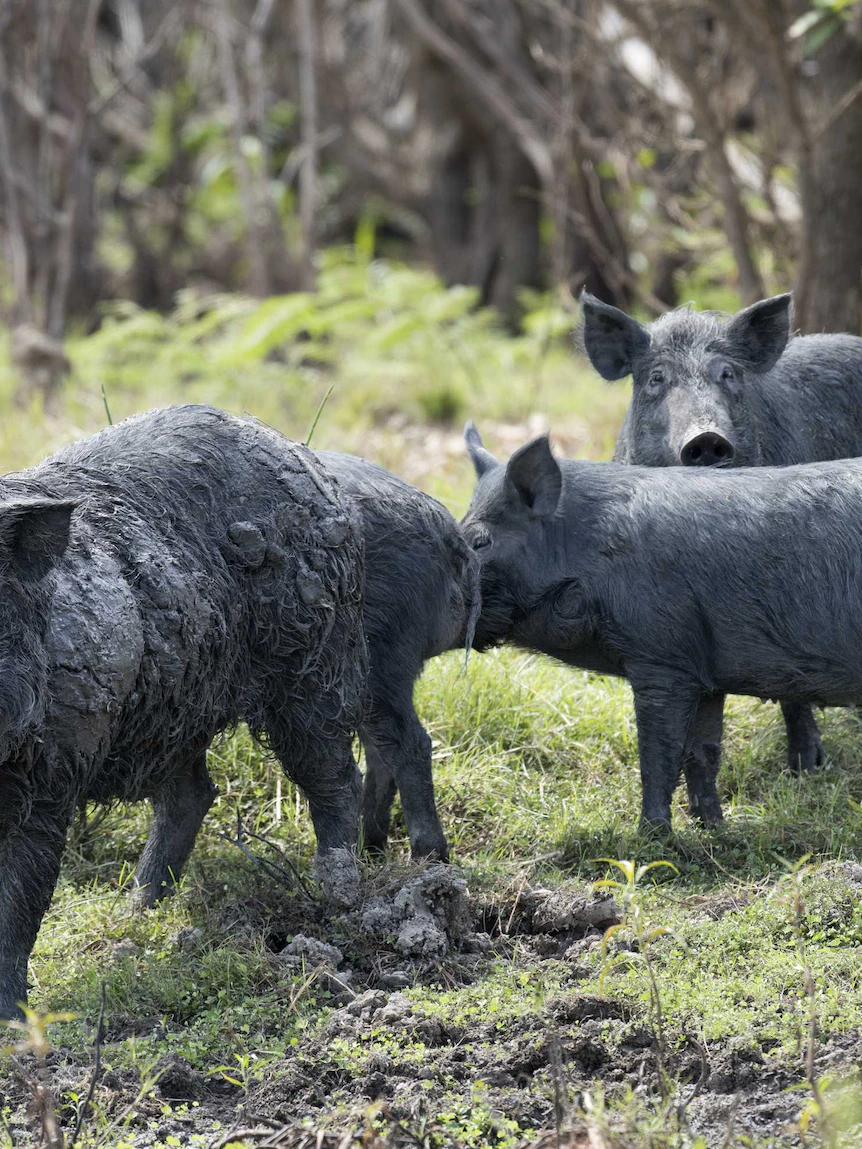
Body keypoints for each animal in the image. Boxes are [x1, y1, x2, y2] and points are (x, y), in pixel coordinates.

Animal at [0, 405, 367, 1020]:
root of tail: (305, 458)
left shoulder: (50, 774)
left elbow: (17, 897)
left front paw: (11, 1021)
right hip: (177, 709)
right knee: (193, 794)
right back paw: (135, 914)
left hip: (310, 663)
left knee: (334, 776)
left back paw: (341, 895)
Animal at [316, 452, 480, 861]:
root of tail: (450, 536)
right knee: (381, 751)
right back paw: (369, 849)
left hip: (377, 657)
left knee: (411, 743)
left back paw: (426, 856)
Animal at [463, 423, 862, 833]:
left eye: (479, 542)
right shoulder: (705, 676)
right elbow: (703, 754)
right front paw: (713, 829)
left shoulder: (661, 659)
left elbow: (658, 757)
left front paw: (652, 837)